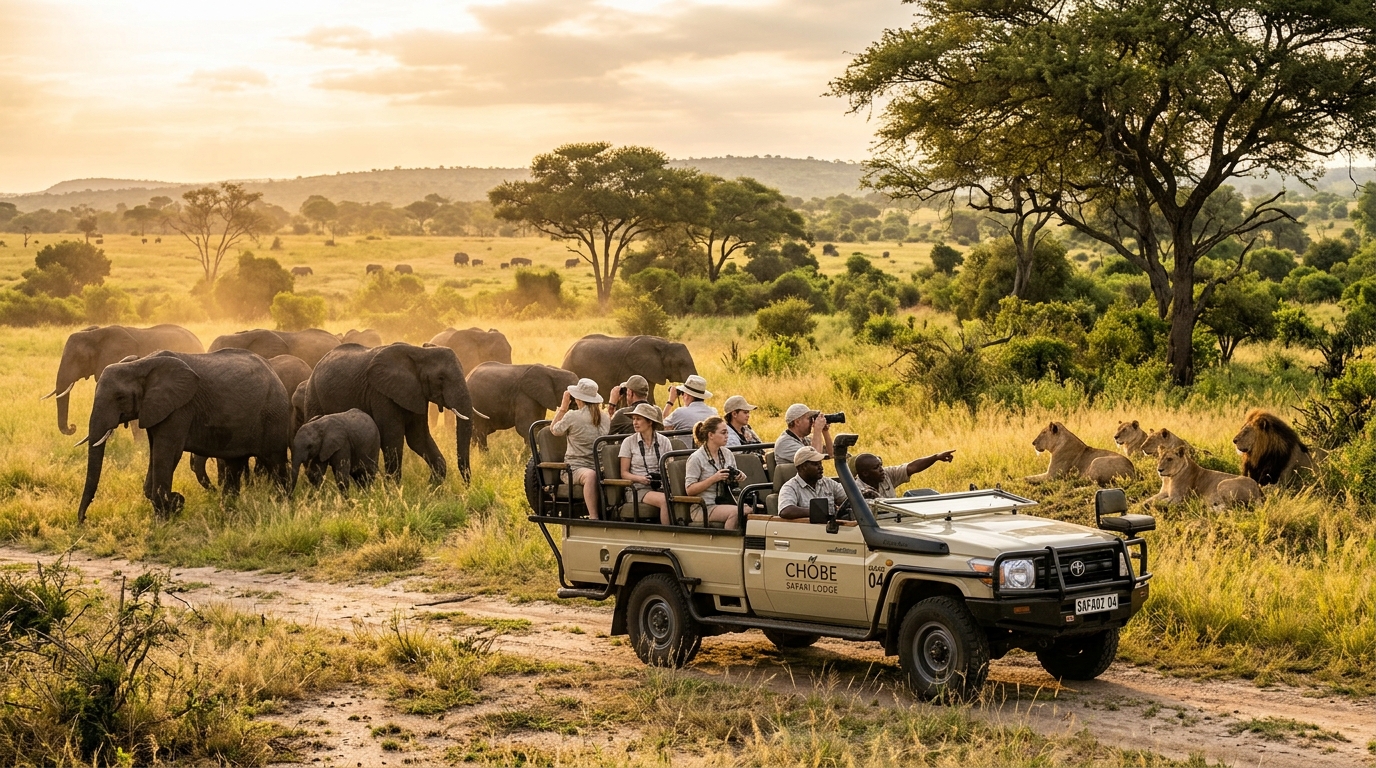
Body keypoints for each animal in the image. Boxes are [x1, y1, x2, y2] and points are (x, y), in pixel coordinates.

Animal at [76, 348, 292, 522]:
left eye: (120, 397)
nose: (83, 519)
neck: (140, 363)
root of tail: (275, 375)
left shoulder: (179, 409)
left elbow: (168, 453)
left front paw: (167, 514)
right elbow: (155, 452)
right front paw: (173, 505)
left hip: (273, 415)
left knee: (275, 462)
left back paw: (282, 503)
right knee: (234, 465)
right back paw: (228, 508)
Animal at [304, 343, 475, 483]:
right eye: (441, 378)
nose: (466, 486)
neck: (419, 352)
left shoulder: (417, 394)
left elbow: (418, 438)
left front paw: (431, 491)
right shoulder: (381, 394)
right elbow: (392, 438)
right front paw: (394, 492)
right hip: (313, 395)